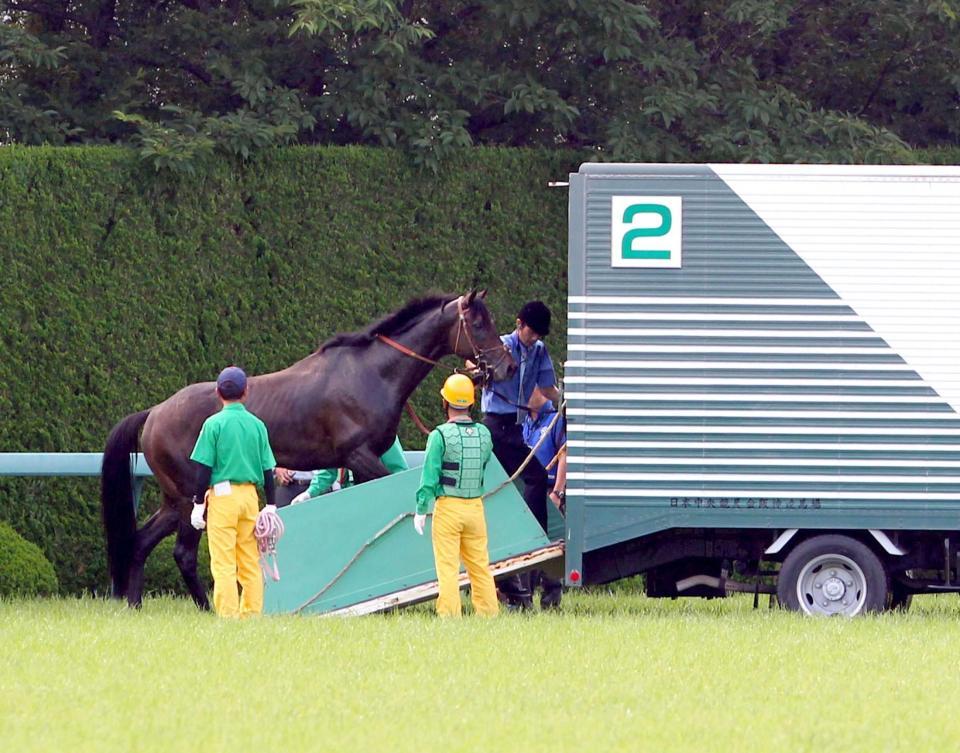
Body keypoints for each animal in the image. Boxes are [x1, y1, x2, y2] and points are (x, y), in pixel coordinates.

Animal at [100, 290, 515, 608]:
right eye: (479, 324)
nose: (507, 367)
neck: (370, 374)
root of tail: (155, 411)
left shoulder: (359, 462)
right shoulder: (360, 456)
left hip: (174, 500)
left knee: (140, 543)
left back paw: (135, 604)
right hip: (193, 498)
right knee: (183, 555)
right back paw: (208, 609)